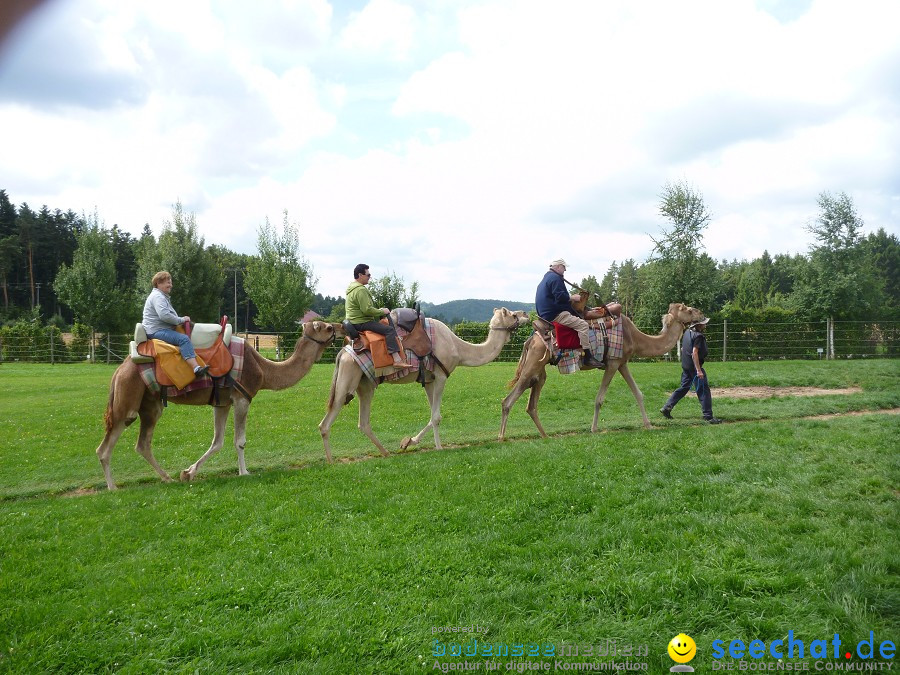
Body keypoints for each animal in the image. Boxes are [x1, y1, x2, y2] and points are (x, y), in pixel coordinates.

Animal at [95, 322, 342, 492]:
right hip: (127, 400)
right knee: (105, 447)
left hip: (150, 404)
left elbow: (218, 441)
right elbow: (239, 440)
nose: (341, 327)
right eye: (327, 327)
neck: (263, 370)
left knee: (142, 443)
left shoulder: (221, 403)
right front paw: (244, 472)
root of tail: (119, 370)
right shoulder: (242, 398)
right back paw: (112, 487)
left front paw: (188, 473)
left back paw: (167, 478)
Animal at [318, 308, 532, 462]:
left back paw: (385, 453)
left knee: (363, 422)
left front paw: (408, 442)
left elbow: (432, 415)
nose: (526, 313)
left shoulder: (429, 380)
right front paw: (439, 448)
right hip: (348, 377)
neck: (458, 348)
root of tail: (342, 353)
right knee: (326, 422)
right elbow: (437, 417)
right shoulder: (441, 376)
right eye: (512, 314)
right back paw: (331, 461)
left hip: (365, 384)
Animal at [500, 304, 704, 440]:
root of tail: (531, 339)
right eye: (687, 309)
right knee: (508, 400)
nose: (701, 314)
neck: (635, 337)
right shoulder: (612, 363)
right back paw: (501, 438)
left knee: (531, 405)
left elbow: (638, 393)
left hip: (539, 371)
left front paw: (648, 425)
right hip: (533, 364)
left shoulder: (622, 363)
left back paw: (546, 436)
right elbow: (599, 399)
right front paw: (593, 429)